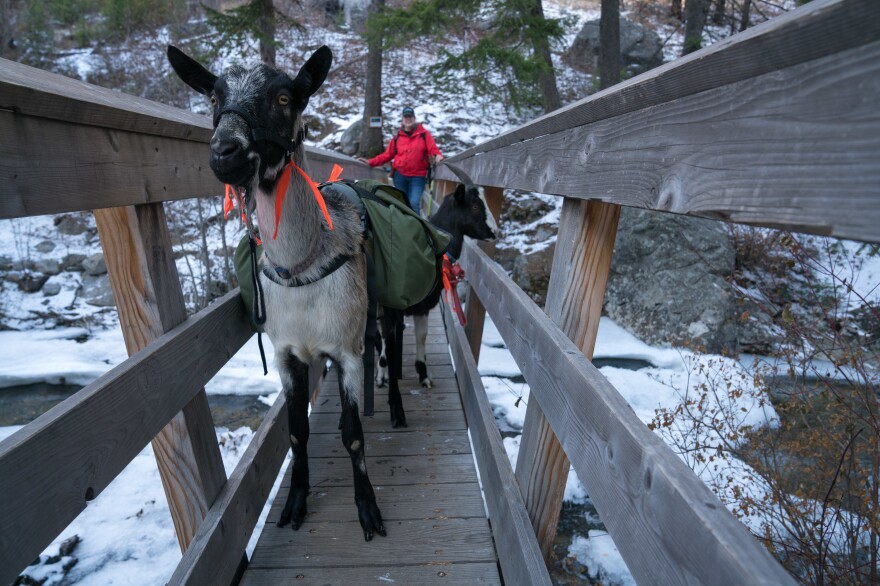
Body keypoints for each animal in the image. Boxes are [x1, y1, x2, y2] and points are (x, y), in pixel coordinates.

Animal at [167, 45, 389, 541]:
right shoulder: (287, 354)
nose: (225, 152)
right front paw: (295, 503)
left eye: (285, 97)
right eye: (214, 97)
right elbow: (295, 433)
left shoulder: (347, 350)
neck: (302, 265)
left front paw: (368, 508)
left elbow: (353, 435)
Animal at [377, 165, 498, 392]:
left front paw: (423, 374)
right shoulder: (389, 305)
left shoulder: (424, 305)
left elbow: (422, 336)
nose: (495, 232)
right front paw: (382, 374)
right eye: (475, 206)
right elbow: (385, 335)